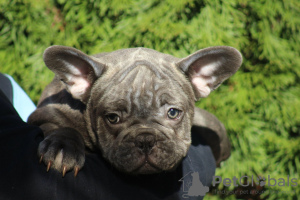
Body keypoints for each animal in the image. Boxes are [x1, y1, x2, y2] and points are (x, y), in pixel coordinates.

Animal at [28, 45, 243, 177]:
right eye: (112, 118)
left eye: (173, 113)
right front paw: (63, 148)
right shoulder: (45, 114)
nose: (145, 140)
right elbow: (62, 127)